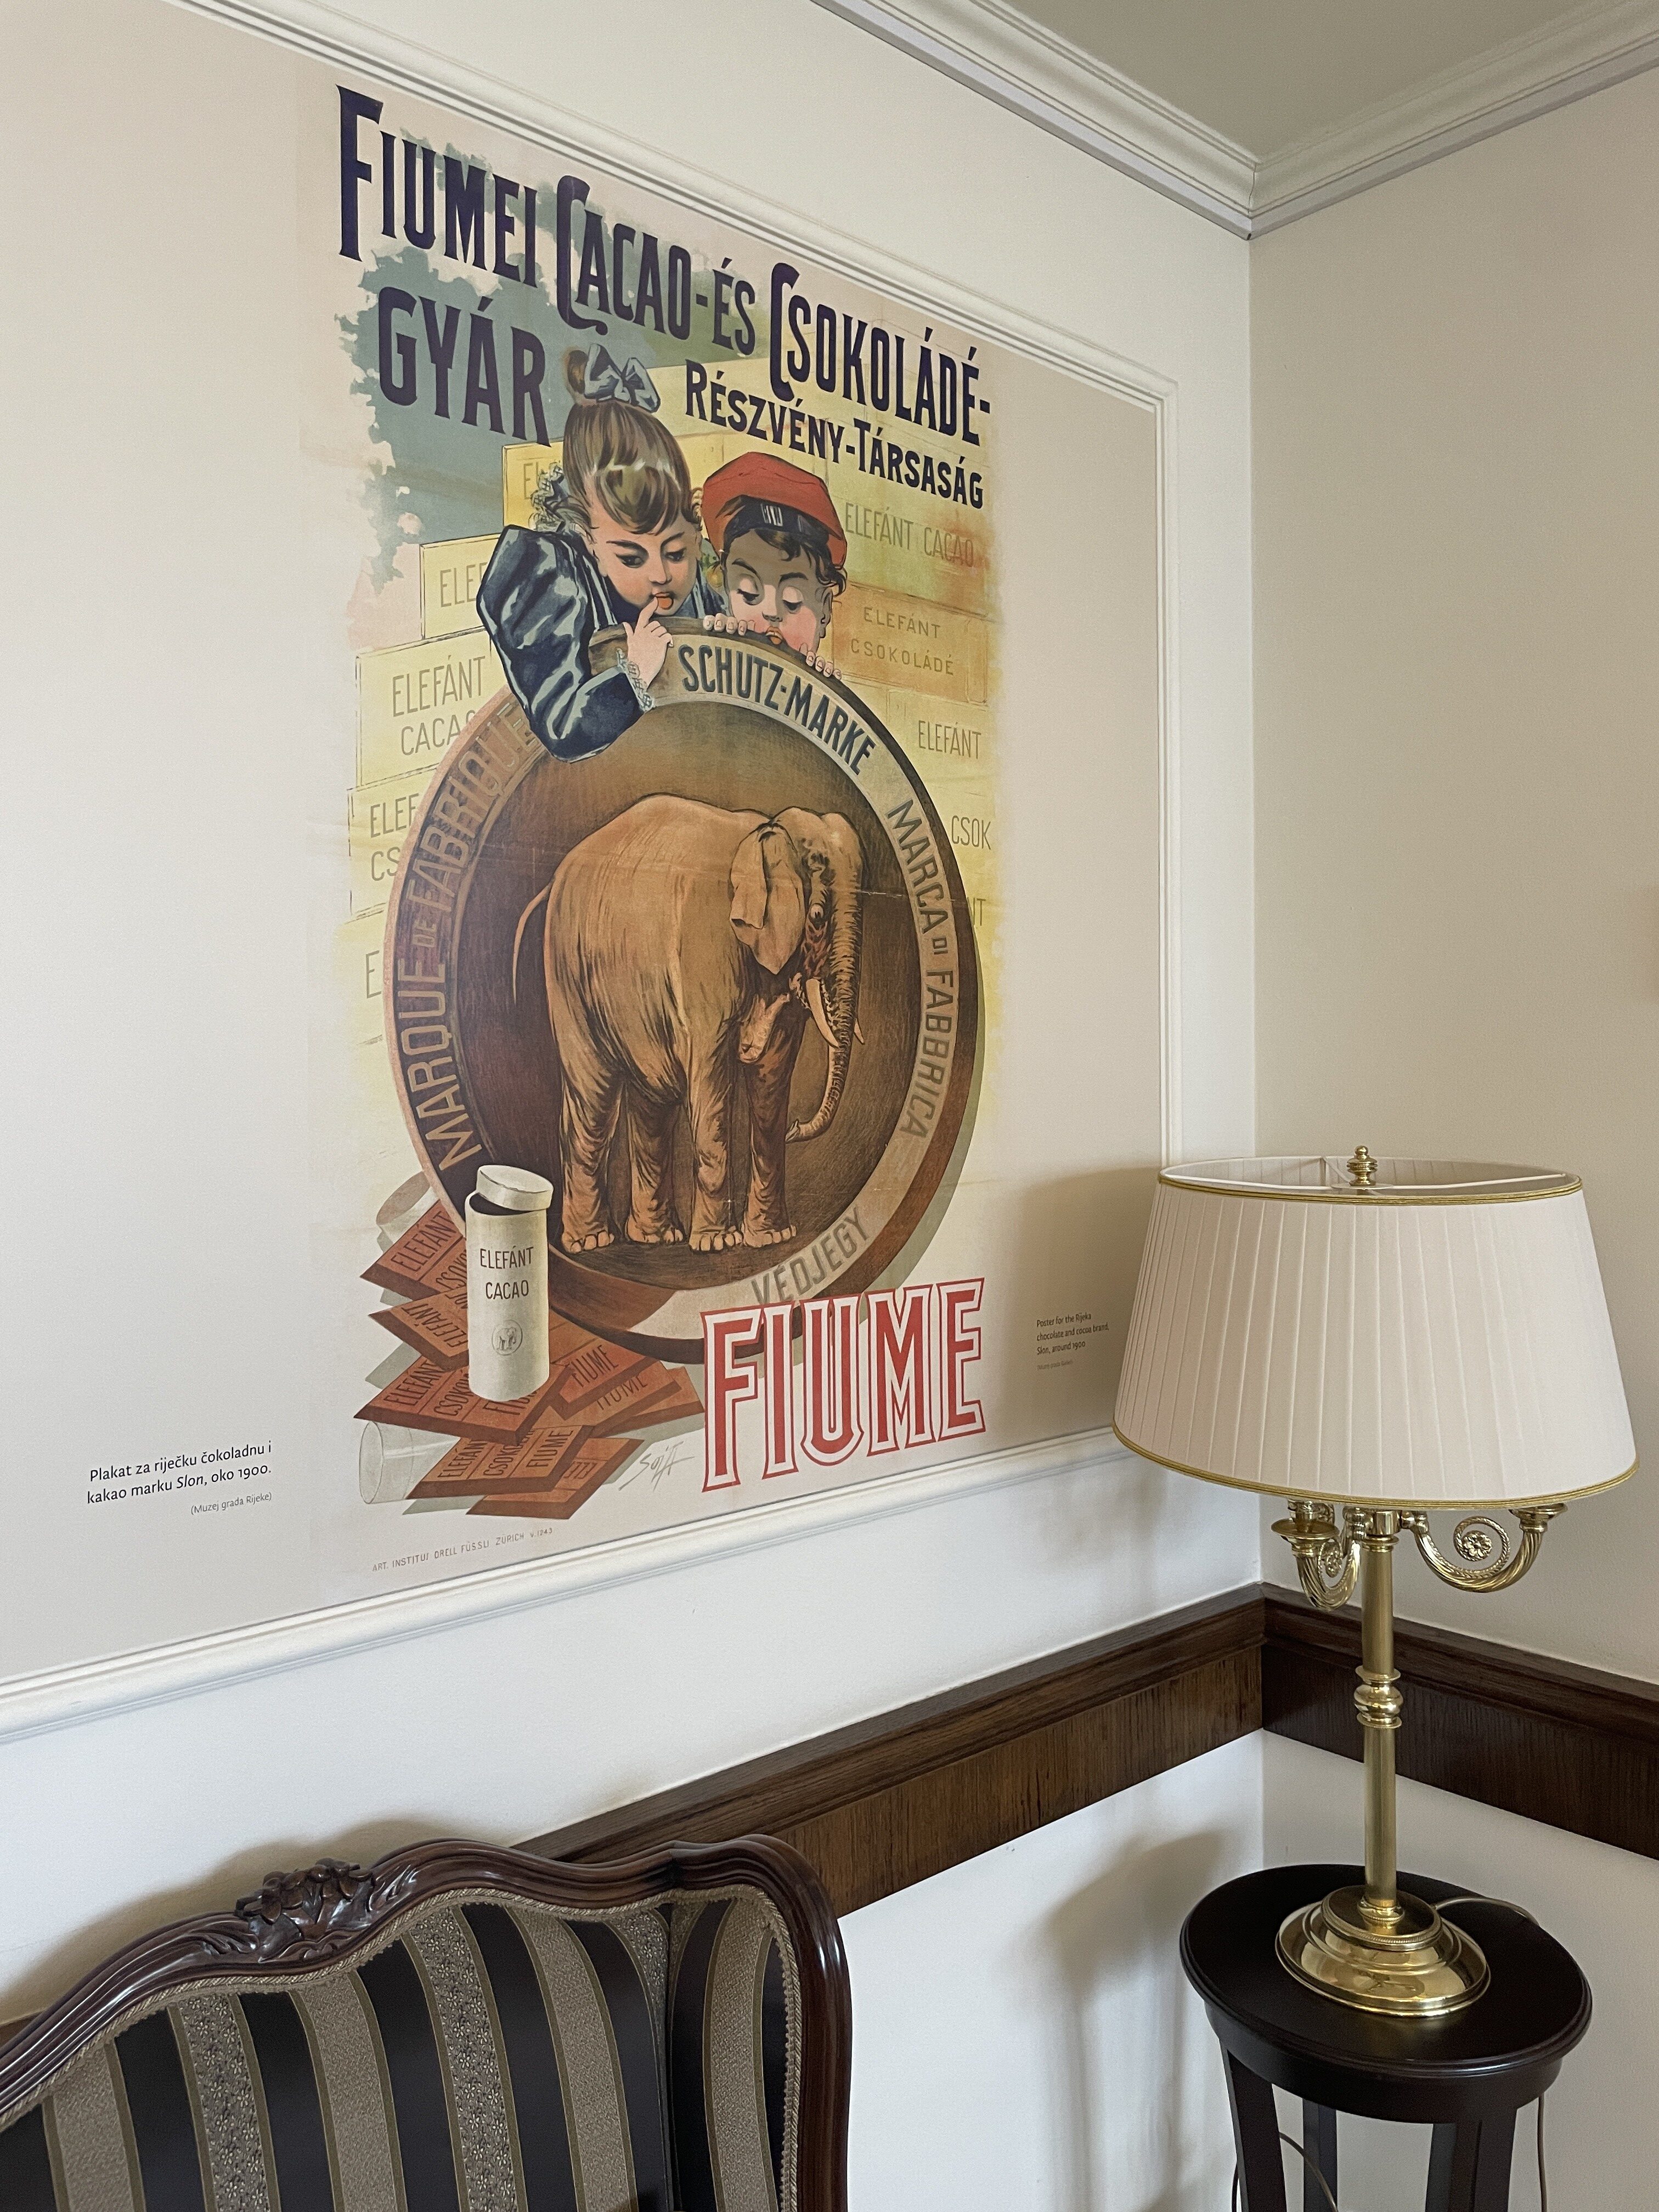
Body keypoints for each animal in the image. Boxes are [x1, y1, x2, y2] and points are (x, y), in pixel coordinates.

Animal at [513, 795, 866, 1257]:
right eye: (819, 916)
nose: (799, 1127)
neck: (766, 835)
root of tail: (555, 879)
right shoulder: (707, 950)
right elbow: (712, 1083)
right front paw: (718, 1245)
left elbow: (771, 1081)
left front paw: (772, 1238)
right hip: (568, 972)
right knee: (594, 1095)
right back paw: (592, 1243)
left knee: (651, 1104)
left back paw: (655, 1237)